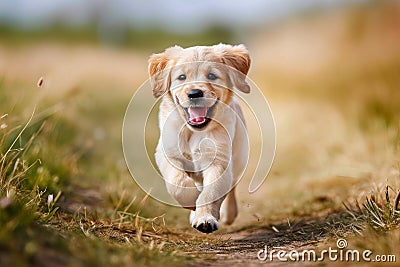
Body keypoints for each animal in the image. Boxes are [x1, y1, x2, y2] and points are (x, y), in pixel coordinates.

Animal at [149, 43, 250, 232]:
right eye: (182, 77)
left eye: (212, 76)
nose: (195, 93)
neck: (193, 131)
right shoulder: (167, 153)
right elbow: (177, 181)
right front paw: (192, 202)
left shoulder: (219, 160)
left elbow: (210, 193)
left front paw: (205, 218)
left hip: (239, 158)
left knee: (231, 187)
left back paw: (227, 213)